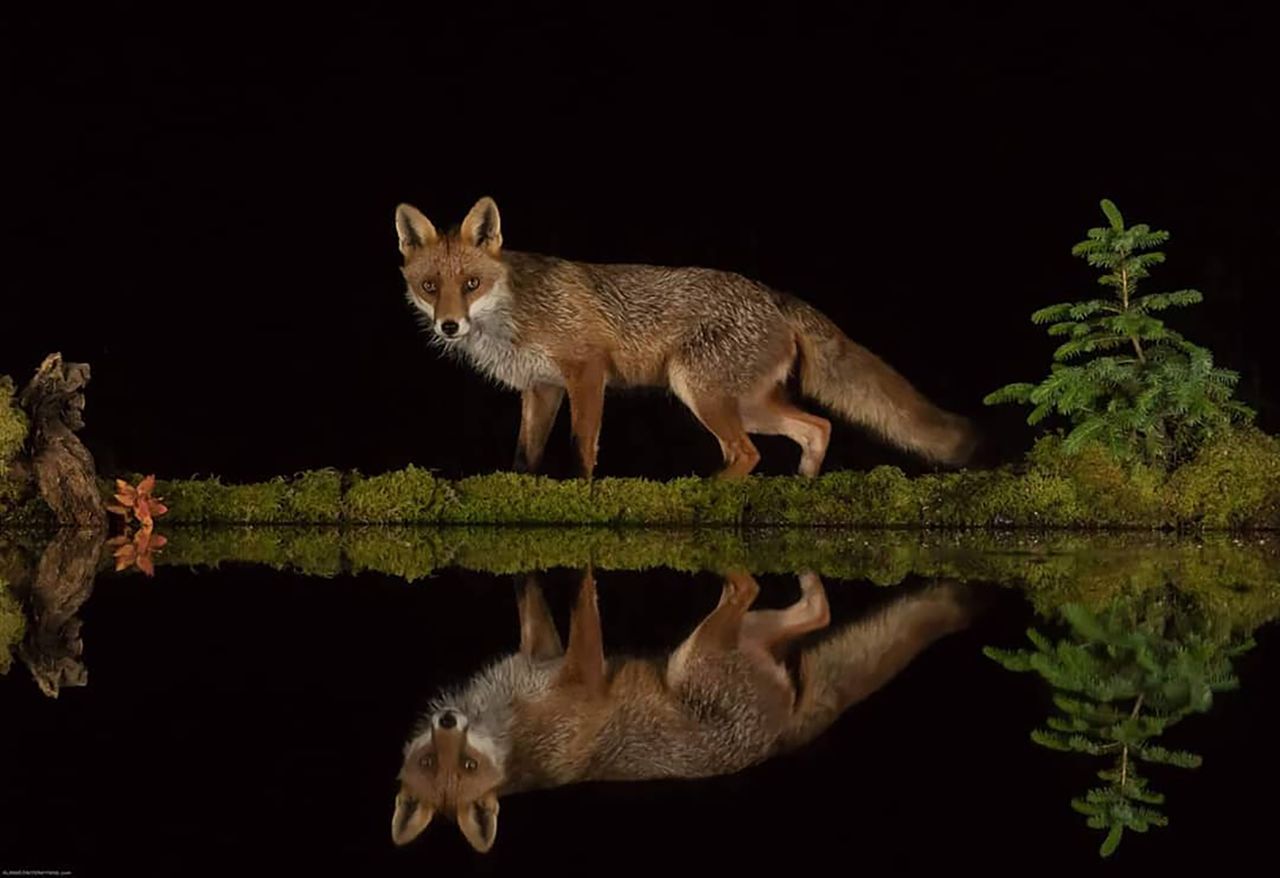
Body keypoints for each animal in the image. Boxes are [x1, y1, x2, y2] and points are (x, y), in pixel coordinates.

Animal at [389, 570, 967, 854]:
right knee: (803, 608)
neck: (508, 727)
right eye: (432, 763)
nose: (447, 723)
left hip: (708, 651)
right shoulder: (561, 670)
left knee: (794, 606)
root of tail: (776, 742)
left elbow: (568, 611)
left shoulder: (555, 664)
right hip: (710, 650)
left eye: (463, 765)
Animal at [394, 198, 972, 481]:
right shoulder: (541, 389)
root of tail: (774, 294)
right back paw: (803, 488)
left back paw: (711, 496)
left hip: (701, 392)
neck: (512, 314)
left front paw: (582, 491)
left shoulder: (586, 371)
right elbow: (524, 457)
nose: (449, 326)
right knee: (817, 428)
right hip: (749, 404)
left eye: (472, 284)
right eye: (431, 287)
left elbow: (583, 447)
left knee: (747, 454)